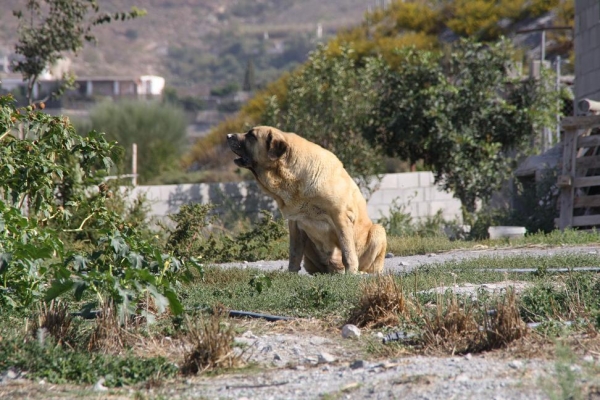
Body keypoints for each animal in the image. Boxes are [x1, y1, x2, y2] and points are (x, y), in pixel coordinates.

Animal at [227, 126, 386, 274]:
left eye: (251, 136)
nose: (228, 136)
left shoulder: (340, 216)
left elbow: (347, 250)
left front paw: (351, 272)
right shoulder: (295, 222)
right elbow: (294, 252)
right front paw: (291, 274)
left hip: (378, 231)